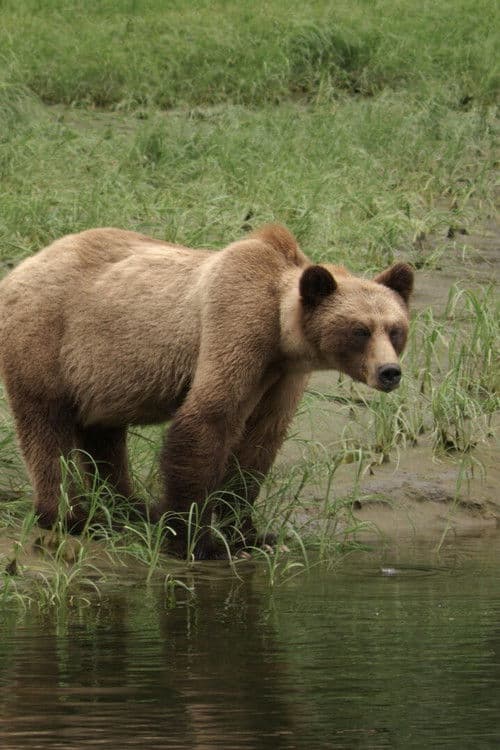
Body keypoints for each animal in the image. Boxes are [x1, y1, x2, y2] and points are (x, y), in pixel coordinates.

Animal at [0, 224, 413, 559]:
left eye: (395, 329)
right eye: (360, 330)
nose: (389, 372)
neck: (282, 337)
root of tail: (18, 270)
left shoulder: (283, 376)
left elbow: (259, 444)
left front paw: (249, 534)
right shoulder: (236, 324)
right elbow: (208, 419)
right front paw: (194, 539)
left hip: (102, 372)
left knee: (102, 435)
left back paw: (128, 508)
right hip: (48, 336)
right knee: (46, 427)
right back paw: (70, 515)